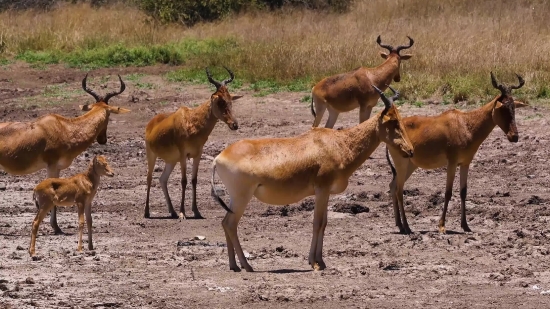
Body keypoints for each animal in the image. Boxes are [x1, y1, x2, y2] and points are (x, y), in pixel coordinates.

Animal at [0, 74, 130, 233]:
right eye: (109, 114)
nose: (102, 140)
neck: (64, 127)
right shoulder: (51, 166)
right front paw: (57, 228)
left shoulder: (57, 168)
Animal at [144, 66, 244, 218]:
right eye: (220, 101)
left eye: (230, 100)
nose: (234, 125)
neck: (191, 120)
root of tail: (151, 123)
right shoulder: (183, 155)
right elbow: (184, 181)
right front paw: (182, 213)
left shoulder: (197, 155)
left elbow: (194, 180)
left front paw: (196, 211)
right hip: (152, 154)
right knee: (149, 178)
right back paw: (147, 212)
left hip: (171, 161)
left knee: (162, 179)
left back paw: (172, 211)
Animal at [213, 85, 416, 270]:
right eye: (393, 122)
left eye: (400, 119)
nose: (410, 150)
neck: (336, 143)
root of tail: (218, 158)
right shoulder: (322, 190)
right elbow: (317, 223)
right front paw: (315, 263)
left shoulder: (325, 193)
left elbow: (324, 223)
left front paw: (321, 261)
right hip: (242, 197)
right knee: (230, 224)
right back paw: (247, 266)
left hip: (234, 198)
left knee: (224, 223)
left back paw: (234, 265)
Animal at [388, 72, 532, 233]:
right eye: (503, 108)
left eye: (514, 107)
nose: (514, 136)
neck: (465, 123)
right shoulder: (451, 163)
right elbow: (448, 192)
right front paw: (442, 226)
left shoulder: (465, 163)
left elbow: (463, 192)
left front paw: (465, 225)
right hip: (401, 162)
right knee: (399, 189)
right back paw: (406, 227)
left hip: (411, 165)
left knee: (393, 186)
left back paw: (400, 225)